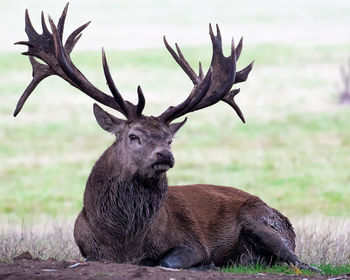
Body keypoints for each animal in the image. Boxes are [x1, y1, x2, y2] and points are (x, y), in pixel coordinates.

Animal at [15, 3, 318, 272]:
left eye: (169, 139)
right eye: (134, 136)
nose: (165, 155)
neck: (123, 240)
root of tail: (285, 220)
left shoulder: (193, 242)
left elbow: (166, 261)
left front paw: (201, 265)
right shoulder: (86, 248)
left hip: (262, 220)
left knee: (298, 261)